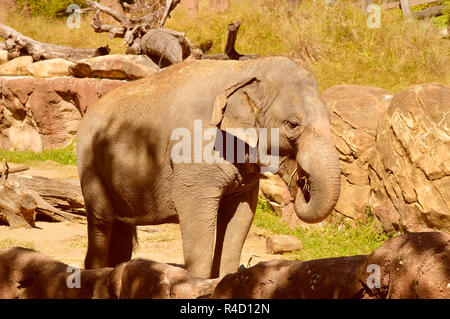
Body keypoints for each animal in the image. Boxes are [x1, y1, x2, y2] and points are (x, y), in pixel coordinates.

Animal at [76, 56, 342, 278]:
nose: (300, 181)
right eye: (293, 124)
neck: (245, 69)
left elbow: (241, 218)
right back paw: (96, 273)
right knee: (101, 220)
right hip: (89, 161)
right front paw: (195, 283)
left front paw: (227, 280)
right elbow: (198, 217)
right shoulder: (194, 154)